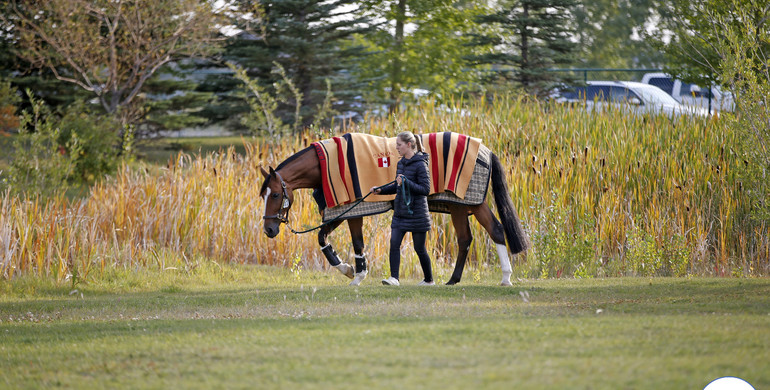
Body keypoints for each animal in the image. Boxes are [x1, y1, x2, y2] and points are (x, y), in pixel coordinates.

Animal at [258, 133, 528, 284]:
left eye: (275, 194)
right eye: (264, 195)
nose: (269, 229)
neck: (325, 163)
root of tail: (485, 150)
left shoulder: (354, 210)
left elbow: (355, 242)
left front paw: (356, 274)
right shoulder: (341, 211)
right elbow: (322, 237)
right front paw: (349, 270)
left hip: (471, 203)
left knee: (493, 231)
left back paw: (504, 278)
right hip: (460, 206)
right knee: (471, 237)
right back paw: (456, 279)